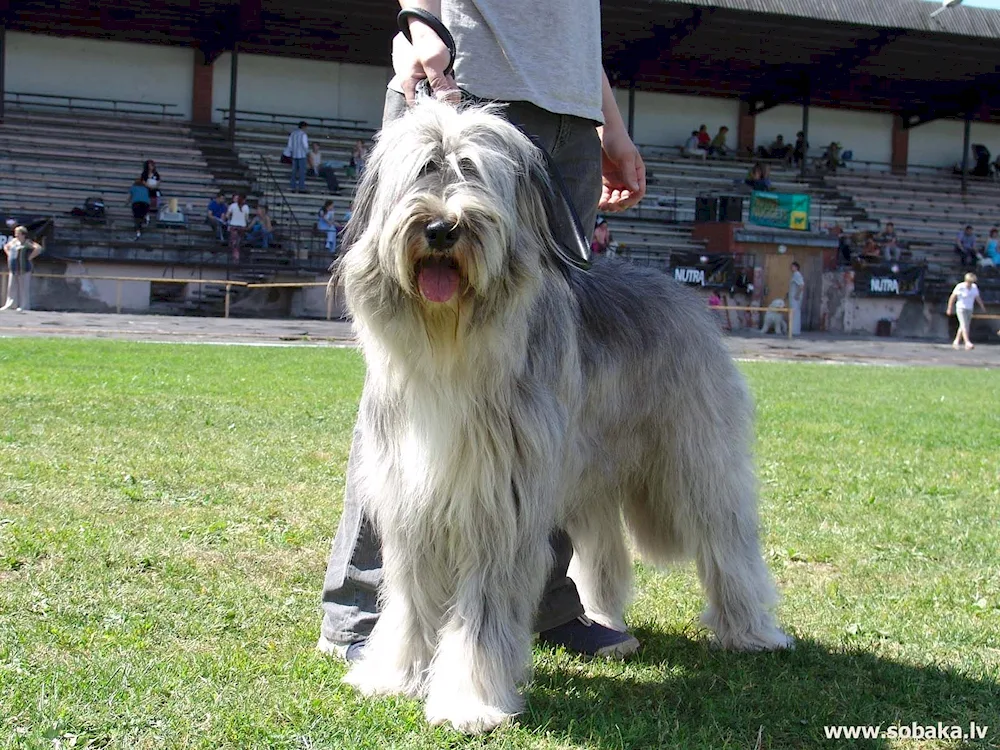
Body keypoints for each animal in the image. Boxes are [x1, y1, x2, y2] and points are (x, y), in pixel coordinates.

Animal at [340, 98, 792, 736]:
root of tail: (679, 289)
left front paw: (470, 701)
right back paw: (603, 619)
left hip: (693, 464)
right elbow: (408, 603)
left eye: (473, 173)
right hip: (587, 479)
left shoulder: (500, 508)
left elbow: (480, 619)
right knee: (604, 555)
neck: (452, 350)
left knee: (728, 541)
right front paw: (394, 675)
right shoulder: (413, 502)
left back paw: (752, 631)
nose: (442, 229)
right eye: (424, 170)